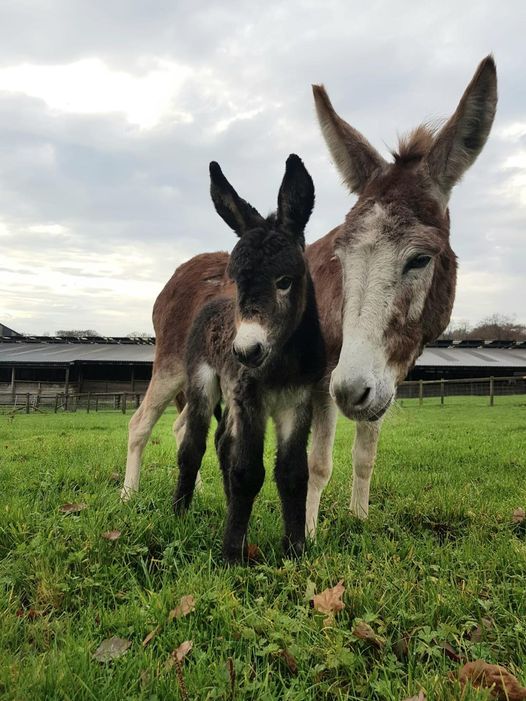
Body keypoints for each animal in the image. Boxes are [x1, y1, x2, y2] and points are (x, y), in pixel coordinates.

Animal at [174, 154, 326, 564]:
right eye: (238, 281)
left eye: (285, 281)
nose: (245, 352)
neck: (283, 360)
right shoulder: (251, 399)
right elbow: (247, 472)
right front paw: (231, 552)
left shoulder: (297, 402)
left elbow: (293, 475)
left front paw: (295, 549)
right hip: (204, 385)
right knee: (193, 448)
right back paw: (179, 513)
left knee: (223, 442)